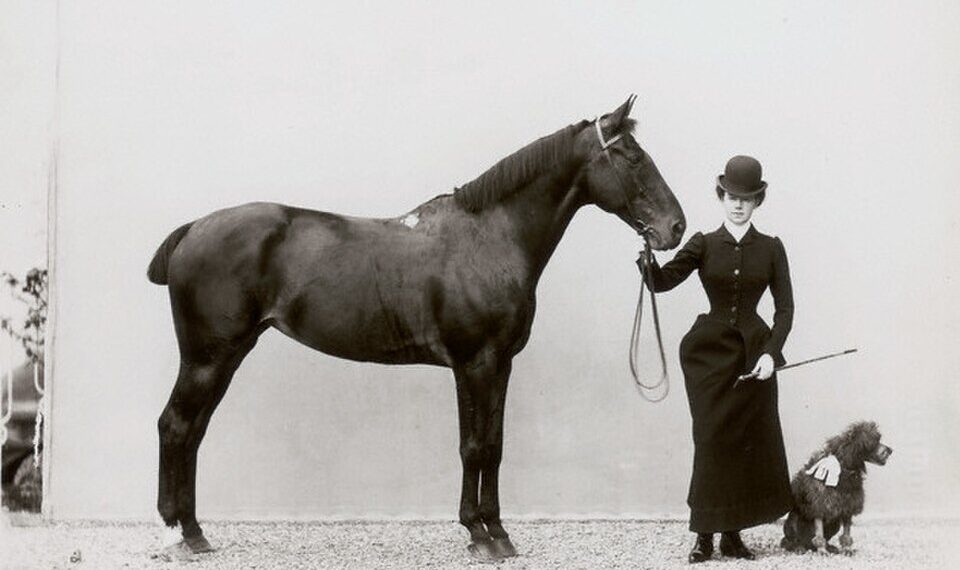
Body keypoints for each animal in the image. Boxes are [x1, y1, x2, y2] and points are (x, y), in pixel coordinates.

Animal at [148, 96, 685, 560]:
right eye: (633, 157)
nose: (675, 228)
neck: (489, 238)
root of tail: (193, 228)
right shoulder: (474, 363)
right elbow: (474, 447)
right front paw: (479, 535)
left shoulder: (501, 365)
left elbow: (495, 446)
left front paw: (499, 532)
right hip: (207, 357)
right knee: (175, 426)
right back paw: (180, 533)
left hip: (227, 355)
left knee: (193, 431)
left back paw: (193, 531)